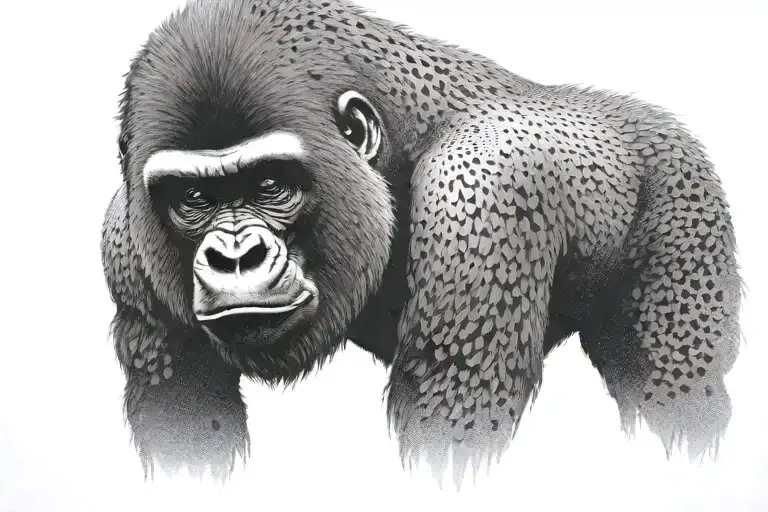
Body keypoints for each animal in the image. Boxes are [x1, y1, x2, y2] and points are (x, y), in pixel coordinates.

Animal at [102, 0, 742, 483]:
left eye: (271, 185)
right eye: (193, 199)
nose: (235, 258)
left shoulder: (483, 190)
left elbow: (454, 418)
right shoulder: (124, 241)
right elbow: (186, 431)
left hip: (684, 185)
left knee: (676, 393)